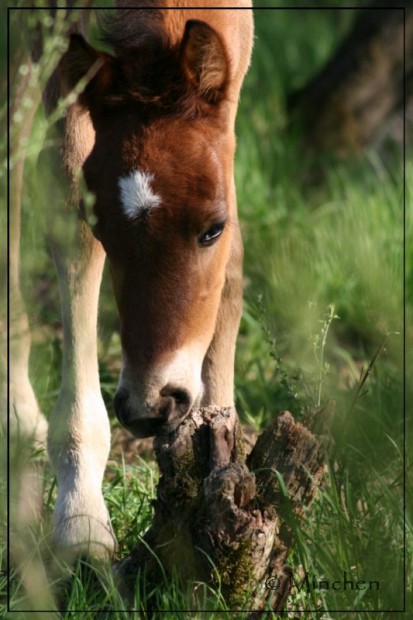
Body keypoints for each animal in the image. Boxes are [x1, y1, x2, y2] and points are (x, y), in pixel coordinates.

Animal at [9, 2, 253, 560]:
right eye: (102, 226)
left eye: (213, 227)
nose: (153, 404)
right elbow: (71, 232)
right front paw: (81, 518)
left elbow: (234, 259)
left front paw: (223, 461)